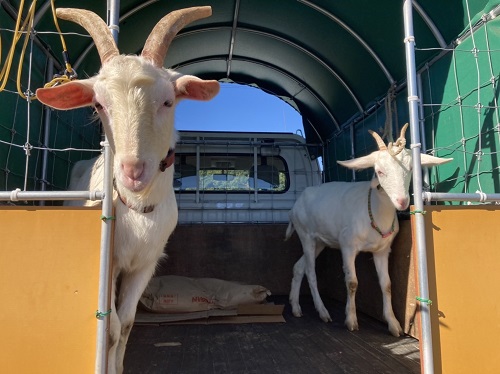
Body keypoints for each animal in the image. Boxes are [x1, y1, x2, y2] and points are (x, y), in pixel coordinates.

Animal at [36, 6, 220, 374]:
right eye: (98, 105)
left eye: (168, 101)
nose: (133, 171)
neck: (137, 209)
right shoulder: (109, 264)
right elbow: (110, 327)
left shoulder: (145, 263)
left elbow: (128, 323)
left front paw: (118, 366)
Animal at [286, 125, 454, 336]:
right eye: (379, 171)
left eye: (410, 169)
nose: (402, 201)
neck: (373, 211)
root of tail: (295, 205)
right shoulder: (347, 245)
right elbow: (352, 282)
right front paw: (351, 320)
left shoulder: (382, 250)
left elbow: (387, 285)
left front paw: (393, 324)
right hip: (305, 234)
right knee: (310, 271)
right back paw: (323, 312)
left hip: (320, 242)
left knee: (298, 267)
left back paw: (296, 307)